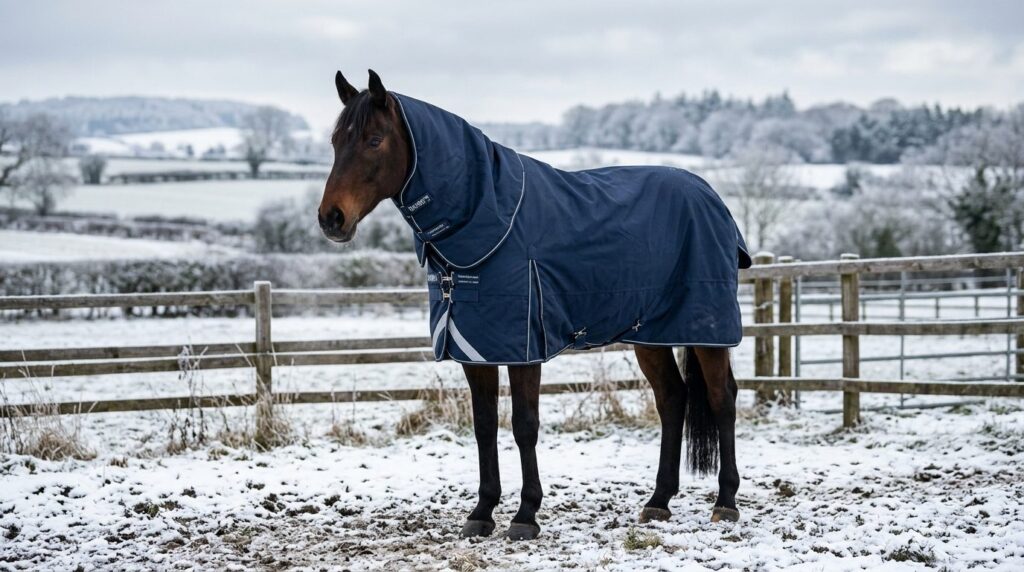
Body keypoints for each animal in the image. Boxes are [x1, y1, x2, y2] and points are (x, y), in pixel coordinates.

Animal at [318, 69, 748, 541]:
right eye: (336, 141)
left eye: (374, 140)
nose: (331, 218)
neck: (487, 220)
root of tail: (711, 197)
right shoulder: (475, 349)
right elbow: (484, 426)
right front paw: (482, 511)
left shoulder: (524, 347)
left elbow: (524, 425)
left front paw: (525, 514)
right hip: (650, 334)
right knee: (672, 399)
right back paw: (658, 502)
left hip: (706, 330)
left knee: (722, 398)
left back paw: (725, 503)